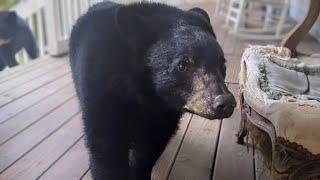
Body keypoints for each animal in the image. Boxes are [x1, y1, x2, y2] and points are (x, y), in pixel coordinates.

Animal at [69, 1, 235, 180]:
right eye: (182, 65)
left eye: (223, 66)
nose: (226, 102)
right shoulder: (102, 91)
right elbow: (106, 151)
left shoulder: (164, 115)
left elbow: (148, 151)